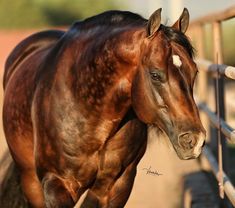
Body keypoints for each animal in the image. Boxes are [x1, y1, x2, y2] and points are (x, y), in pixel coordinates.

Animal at [2, 8, 206, 208]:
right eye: (155, 74)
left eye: (195, 71)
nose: (195, 140)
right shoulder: (56, 184)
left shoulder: (117, 184)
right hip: (32, 183)